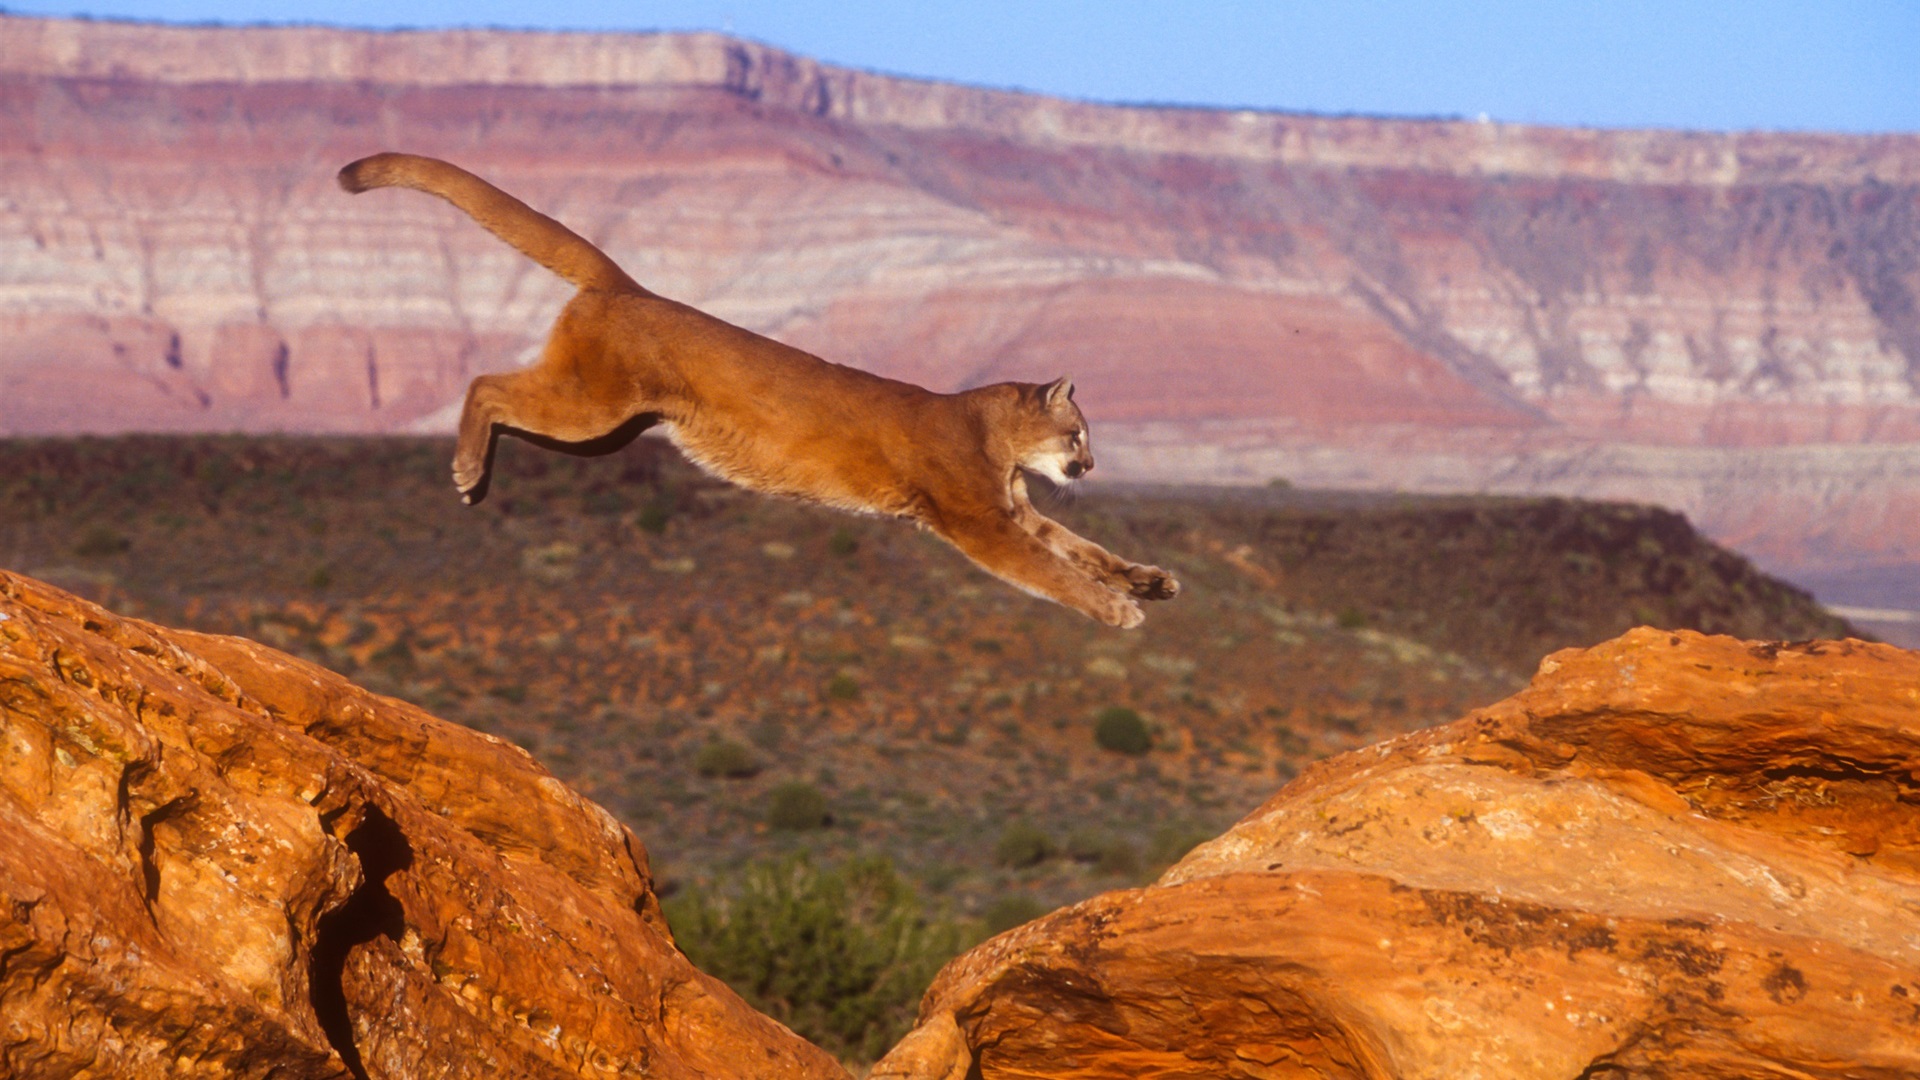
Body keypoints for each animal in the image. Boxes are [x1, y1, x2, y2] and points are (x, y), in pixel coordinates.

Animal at [337, 153, 1179, 627]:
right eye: (1079, 434)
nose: (1090, 466)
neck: (995, 442)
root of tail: (630, 287)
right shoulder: (981, 523)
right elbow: (1052, 573)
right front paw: (1118, 611)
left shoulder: (1017, 512)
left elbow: (1083, 549)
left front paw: (1147, 579)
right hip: (591, 408)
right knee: (485, 383)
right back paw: (467, 473)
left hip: (606, 429)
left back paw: (478, 474)